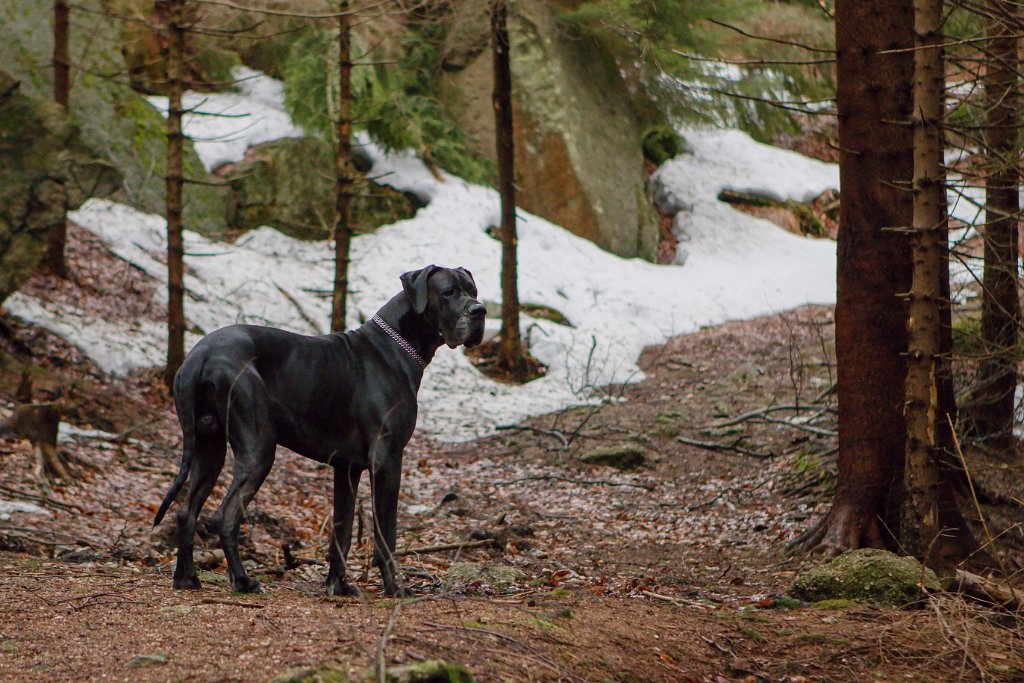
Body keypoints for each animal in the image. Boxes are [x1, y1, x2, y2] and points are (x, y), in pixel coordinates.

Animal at [152, 264, 487, 593]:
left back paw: (186, 578)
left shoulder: (347, 468)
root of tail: (200, 356)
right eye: (449, 292)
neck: (396, 345)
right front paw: (395, 588)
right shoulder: (388, 459)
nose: (480, 310)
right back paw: (243, 581)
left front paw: (338, 585)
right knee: (226, 515)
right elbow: (386, 534)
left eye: (473, 290)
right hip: (259, 448)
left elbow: (342, 531)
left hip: (208, 448)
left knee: (186, 511)